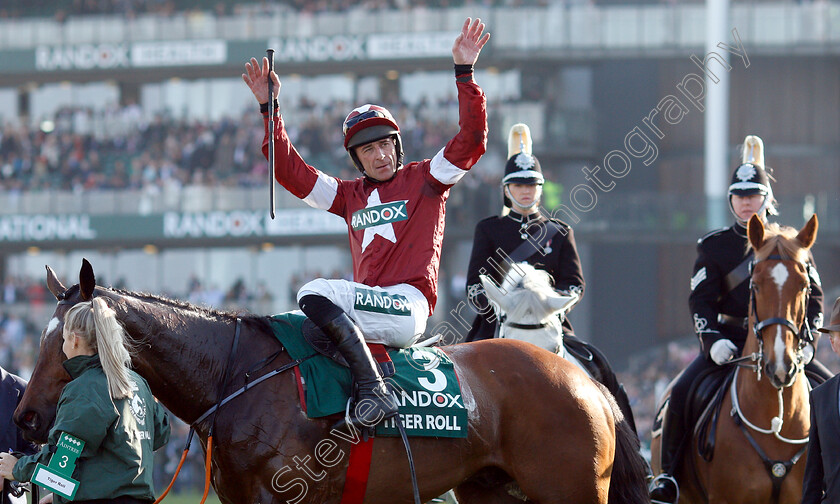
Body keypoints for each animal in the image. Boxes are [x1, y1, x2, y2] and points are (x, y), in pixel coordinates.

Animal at [14, 260, 648, 504]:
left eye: (67, 342)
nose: (25, 417)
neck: (238, 375)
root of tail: (582, 382)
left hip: (569, 489)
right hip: (490, 489)